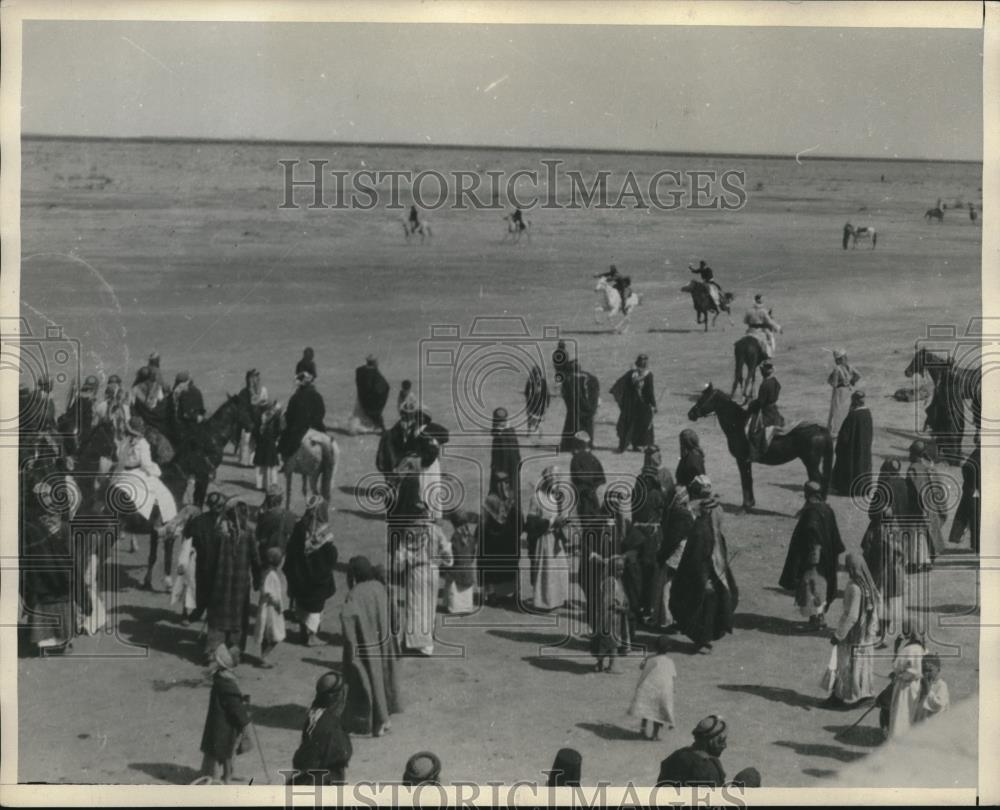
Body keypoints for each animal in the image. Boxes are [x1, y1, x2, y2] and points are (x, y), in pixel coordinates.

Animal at [688, 380, 836, 512]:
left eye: (703, 399)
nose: (691, 414)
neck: (738, 424)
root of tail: (820, 429)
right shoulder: (746, 461)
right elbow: (749, 479)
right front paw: (750, 504)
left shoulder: (741, 460)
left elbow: (745, 480)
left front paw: (745, 506)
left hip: (811, 462)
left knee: (818, 481)